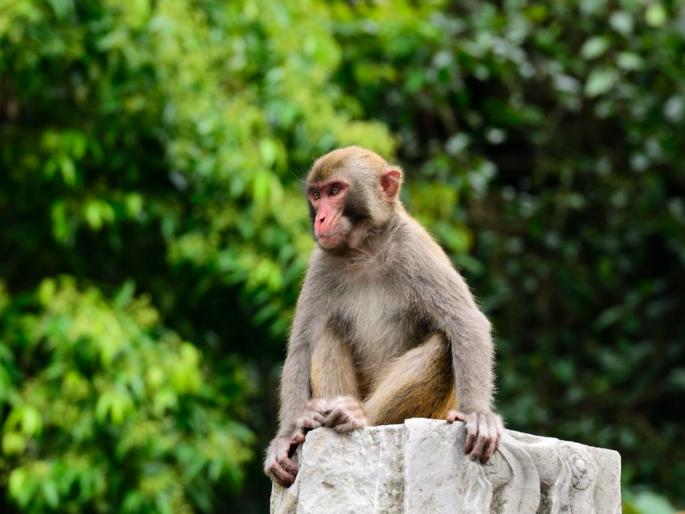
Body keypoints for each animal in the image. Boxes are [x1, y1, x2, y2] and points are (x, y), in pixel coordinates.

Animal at [264, 146, 504, 488]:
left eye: (335, 191)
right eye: (316, 195)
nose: (321, 218)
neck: (365, 247)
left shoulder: (413, 249)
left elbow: (465, 323)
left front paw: (477, 413)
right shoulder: (321, 264)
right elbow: (301, 346)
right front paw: (287, 435)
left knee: (443, 345)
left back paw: (359, 416)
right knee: (327, 332)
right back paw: (321, 416)